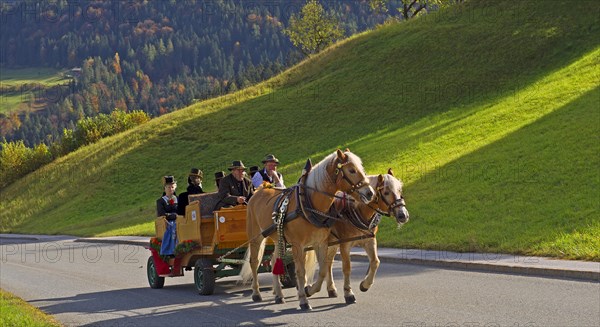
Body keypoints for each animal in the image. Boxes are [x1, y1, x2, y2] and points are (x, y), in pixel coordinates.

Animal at [240, 150, 376, 312]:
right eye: (351, 170)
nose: (370, 193)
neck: (308, 202)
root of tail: (260, 189)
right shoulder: (298, 245)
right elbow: (301, 271)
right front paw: (304, 300)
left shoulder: (320, 243)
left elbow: (322, 270)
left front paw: (309, 290)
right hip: (256, 237)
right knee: (254, 262)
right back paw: (256, 292)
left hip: (278, 239)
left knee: (274, 261)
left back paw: (279, 295)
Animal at [304, 169, 408, 304]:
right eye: (386, 192)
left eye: (400, 189)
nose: (403, 215)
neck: (357, 209)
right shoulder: (345, 244)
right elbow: (347, 267)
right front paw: (348, 292)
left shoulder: (369, 241)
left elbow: (375, 262)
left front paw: (365, 284)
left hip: (332, 243)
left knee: (328, 263)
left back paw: (331, 288)